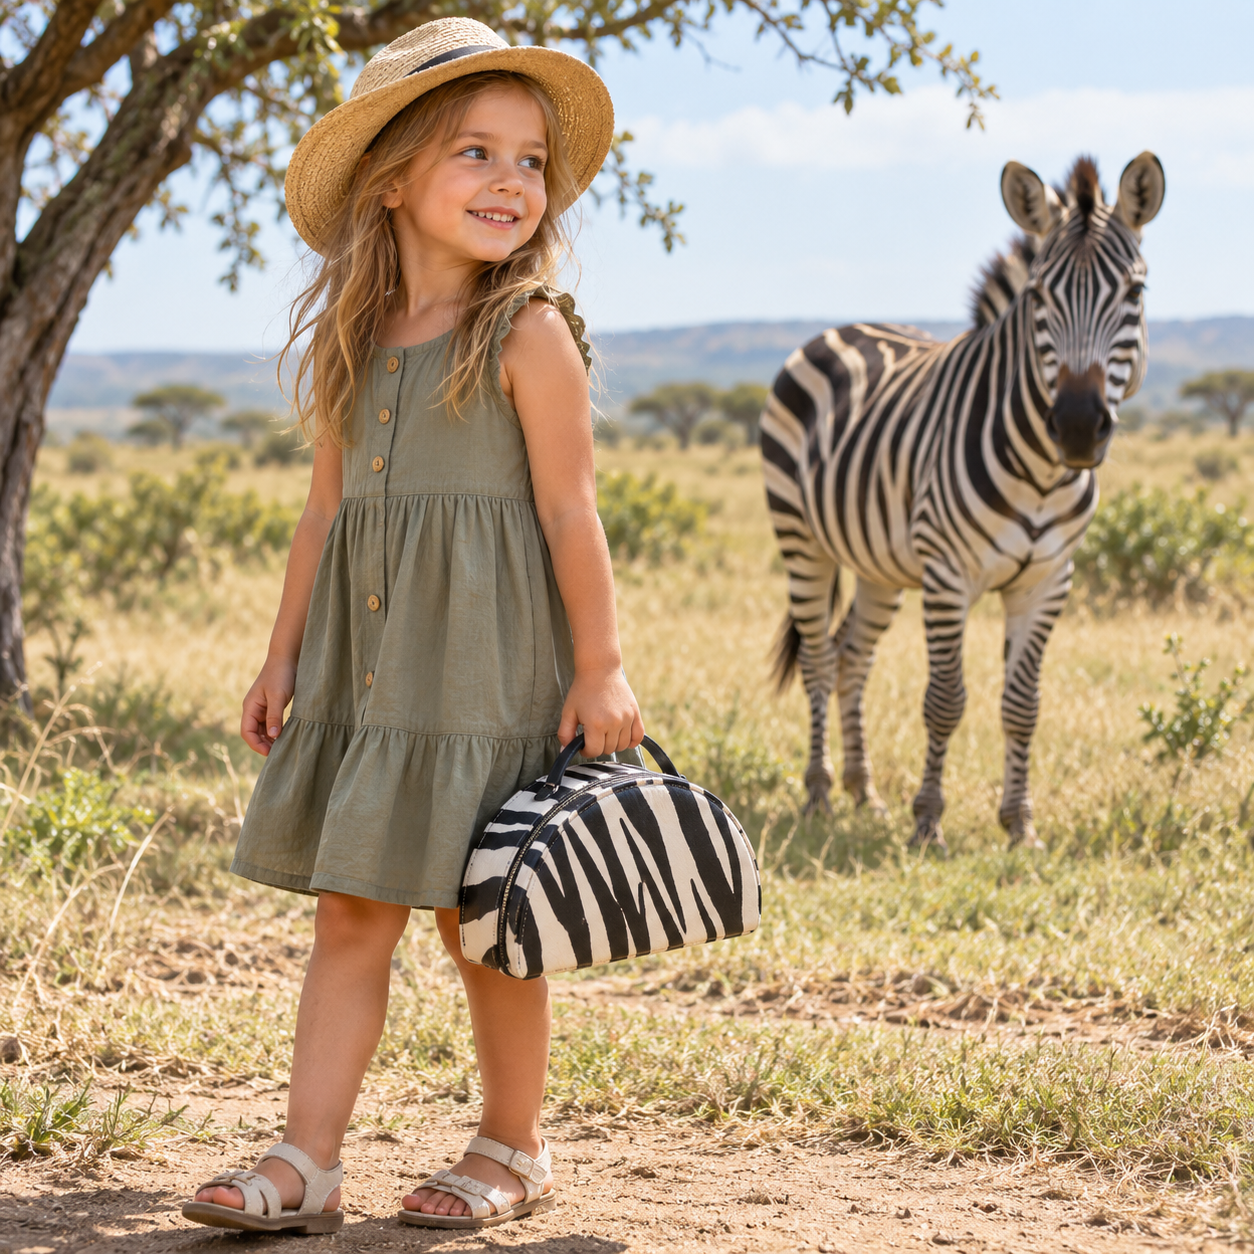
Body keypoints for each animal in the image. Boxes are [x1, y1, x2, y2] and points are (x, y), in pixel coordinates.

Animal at [761, 153, 1165, 850]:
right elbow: (945, 699)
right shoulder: (949, 573)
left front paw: (1020, 825)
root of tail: (843, 327)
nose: (1078, 426)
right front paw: (928, 821)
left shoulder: (1048, 580)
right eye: (1039, 297)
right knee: (816, 658)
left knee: (851, 658)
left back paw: (864, 792)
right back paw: (818, 792)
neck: (1042, 473)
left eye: (1133, 294)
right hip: (801, 538)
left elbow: (1023, 705)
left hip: (879, 565)